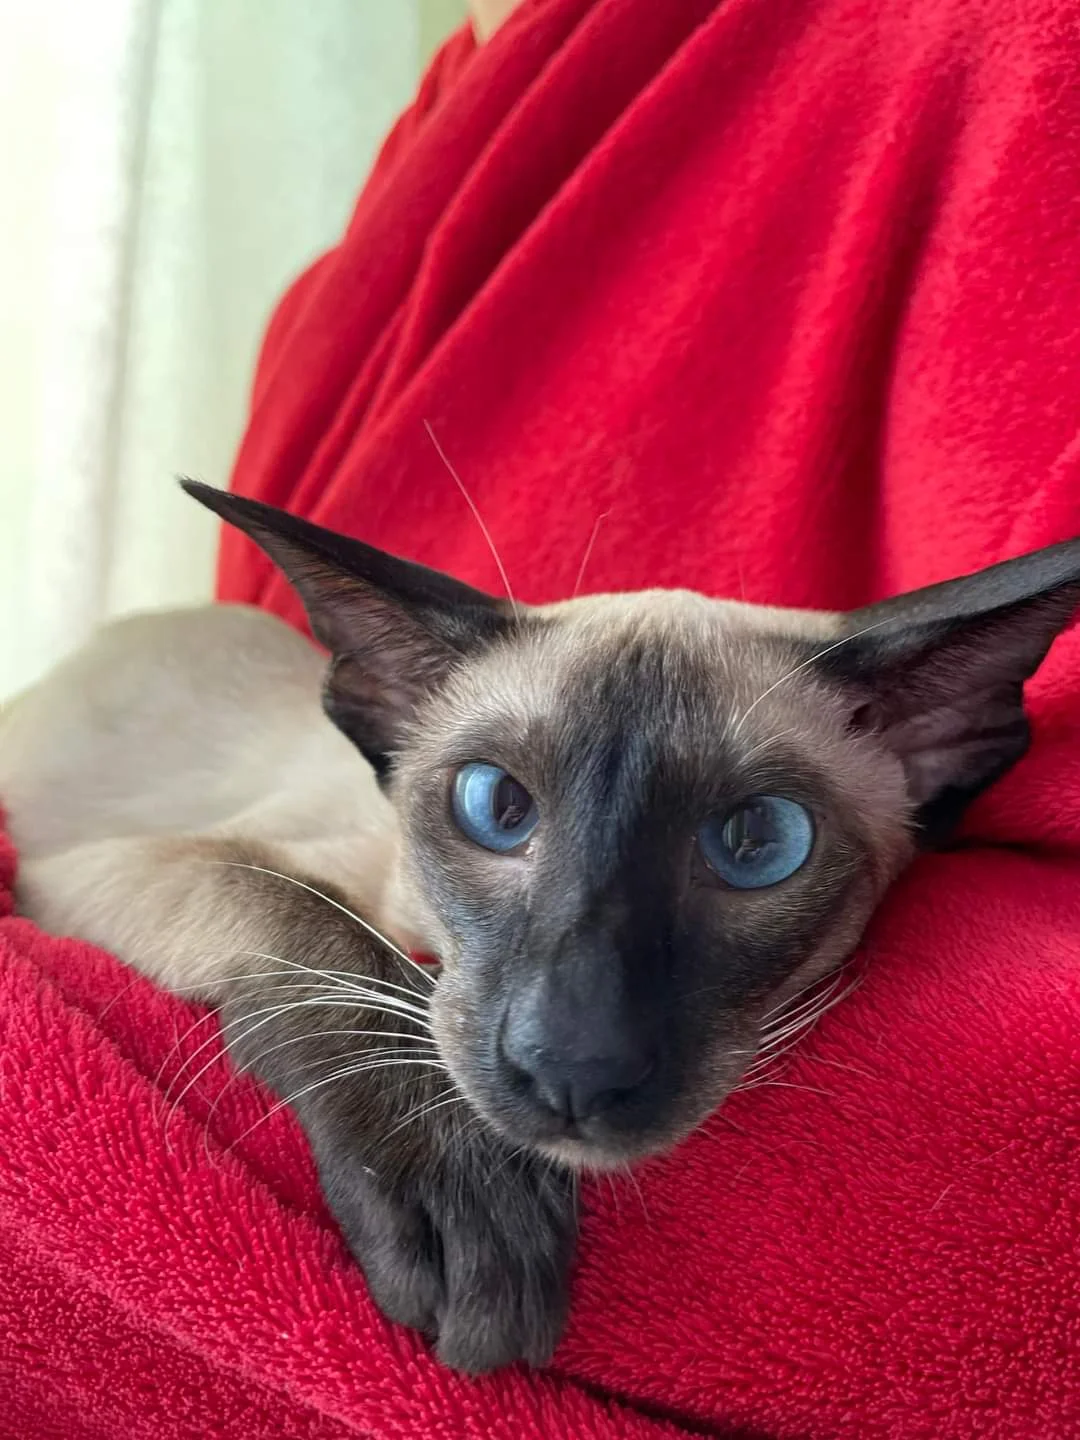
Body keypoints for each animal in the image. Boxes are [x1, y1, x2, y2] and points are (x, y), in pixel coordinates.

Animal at [2, 477, 1078, 1373]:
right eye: (497, 808)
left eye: (758, 842)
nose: (575, 1064)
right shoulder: (103, 872)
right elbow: (316, 924)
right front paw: (467, 1197)